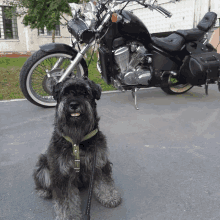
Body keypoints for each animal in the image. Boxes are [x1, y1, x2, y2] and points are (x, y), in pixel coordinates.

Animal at [32, 76, 122, 219]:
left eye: (85, 93)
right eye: (65, 93)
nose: (73, 104)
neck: (77, 141)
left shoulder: (99, 162)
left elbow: (105, 182)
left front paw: (109, 196)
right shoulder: (62, 174)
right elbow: (66, 200)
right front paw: (68, 215)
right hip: (42, 166)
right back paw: (44, 191)